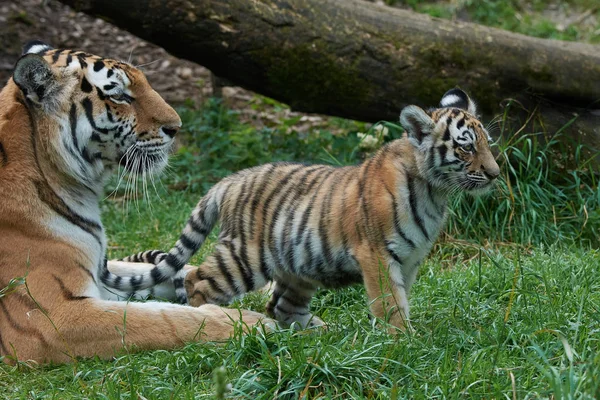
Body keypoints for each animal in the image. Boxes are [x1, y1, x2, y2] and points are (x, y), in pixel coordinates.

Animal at [0, 41, 268, 366]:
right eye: (119, 95)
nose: (176, 127)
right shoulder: (50, 317)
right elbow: (165, 320)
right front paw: (256, 322)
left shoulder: (98, 265)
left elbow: (158, 271)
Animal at [113, 88, 502, 332]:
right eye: (466, 148)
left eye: (487, 143)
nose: (495, 173)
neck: (434, 191)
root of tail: (230, 180)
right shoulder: (377, 254)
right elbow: (389, 303)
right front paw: (403, 342)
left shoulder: (410, 259)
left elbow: (401, 298)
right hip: (245, 257)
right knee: (196, 280)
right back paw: (213, 319)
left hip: (297, 264)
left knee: (280, 306)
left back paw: (322, 333)